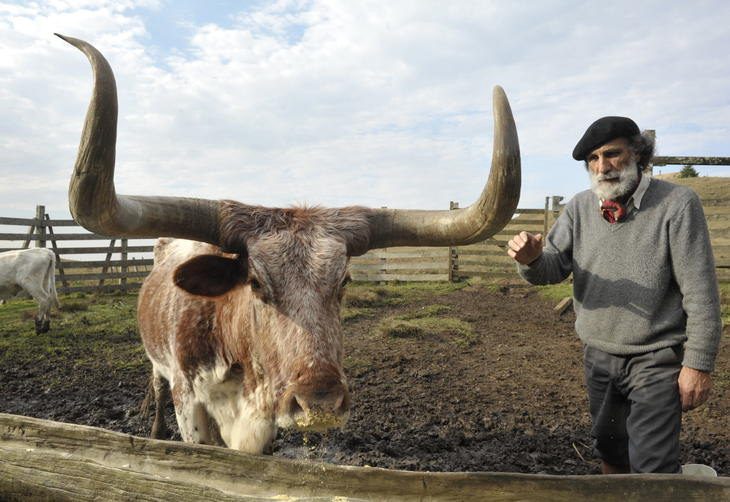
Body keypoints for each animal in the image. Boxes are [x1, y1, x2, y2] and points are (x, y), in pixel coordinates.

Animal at [59, 33, 520, 452]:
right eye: (256, 283)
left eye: (344, 281)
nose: (320, 403)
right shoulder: (189, 402)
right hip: (158, 367)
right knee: (155, 391)